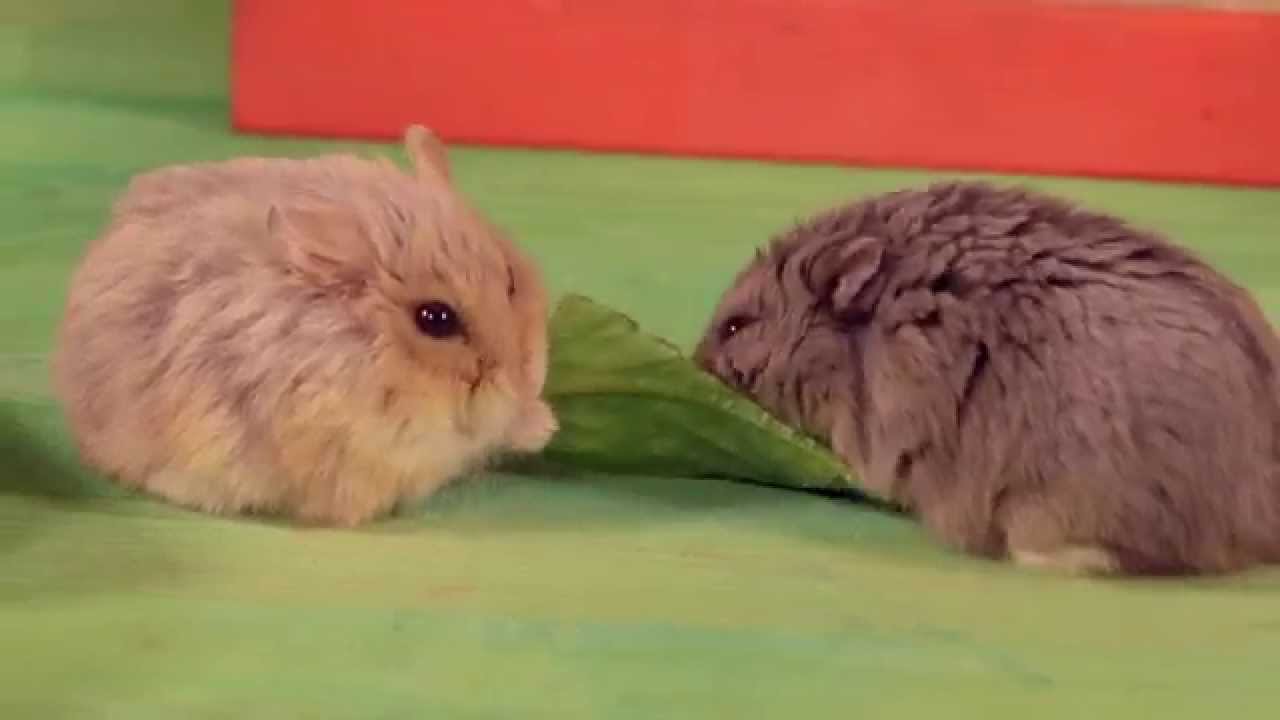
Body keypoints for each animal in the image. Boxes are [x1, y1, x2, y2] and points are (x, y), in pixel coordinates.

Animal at [53, 125, 558, 527]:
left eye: (511, 280)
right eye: (435, 318)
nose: (524, 379)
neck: (359, 343)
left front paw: (542, 424)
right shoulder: (377, 445)